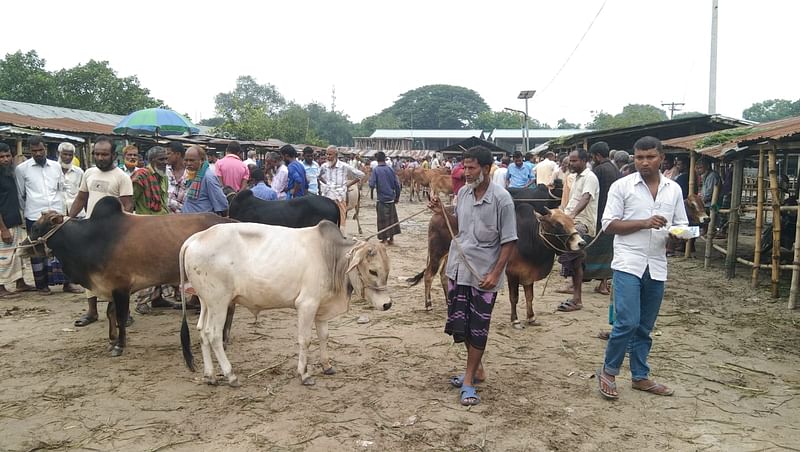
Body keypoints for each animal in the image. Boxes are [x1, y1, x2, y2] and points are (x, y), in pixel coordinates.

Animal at [181, 221, 394, 386]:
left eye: (387, 270)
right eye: (373, 271)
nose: (387, 304)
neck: (330, 256)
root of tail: (195, 239)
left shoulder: (321, 307)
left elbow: (324, 336)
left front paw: (327, 366)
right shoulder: (307, 305)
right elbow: (305, 339)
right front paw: (304, 374)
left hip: (206, 303)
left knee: (202, 332)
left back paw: (210, 376)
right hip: (220, 303)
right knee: (214, 335)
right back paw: (230, 375)